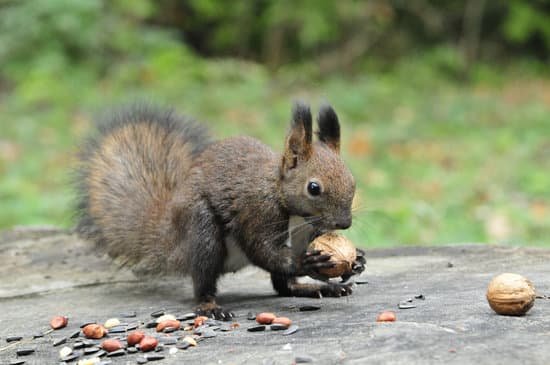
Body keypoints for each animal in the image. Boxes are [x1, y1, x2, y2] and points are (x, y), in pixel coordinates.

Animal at [74, 101, 366, 318]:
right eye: (313, 188)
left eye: (353, 180)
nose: (345, 223)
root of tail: (171, 240)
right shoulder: (257, 211)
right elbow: (263, 250)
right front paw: (307, 262)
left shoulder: (308, 231)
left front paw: (357, 260)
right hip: (202, 232)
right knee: (204, 280)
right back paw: (210, 306)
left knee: (283, 287)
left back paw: (314, 288)